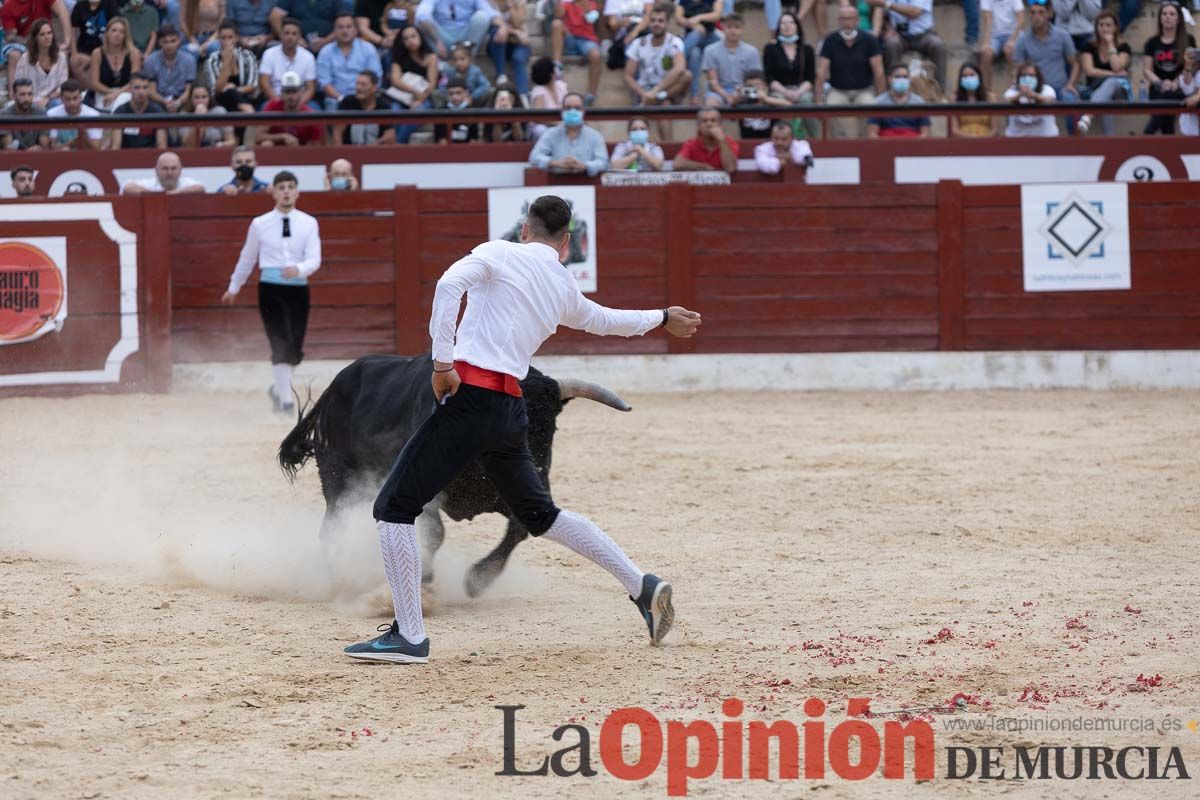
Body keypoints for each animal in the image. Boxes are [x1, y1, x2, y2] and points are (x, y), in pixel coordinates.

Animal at [277, 359, 633, 597]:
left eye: (549, 429)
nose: (536, 478)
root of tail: (333, 389)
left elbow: (518, 530)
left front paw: (478, 579)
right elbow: (435, 531)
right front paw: (425, 578)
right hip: (338, 479)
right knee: (331, 528)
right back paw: (336, 577)